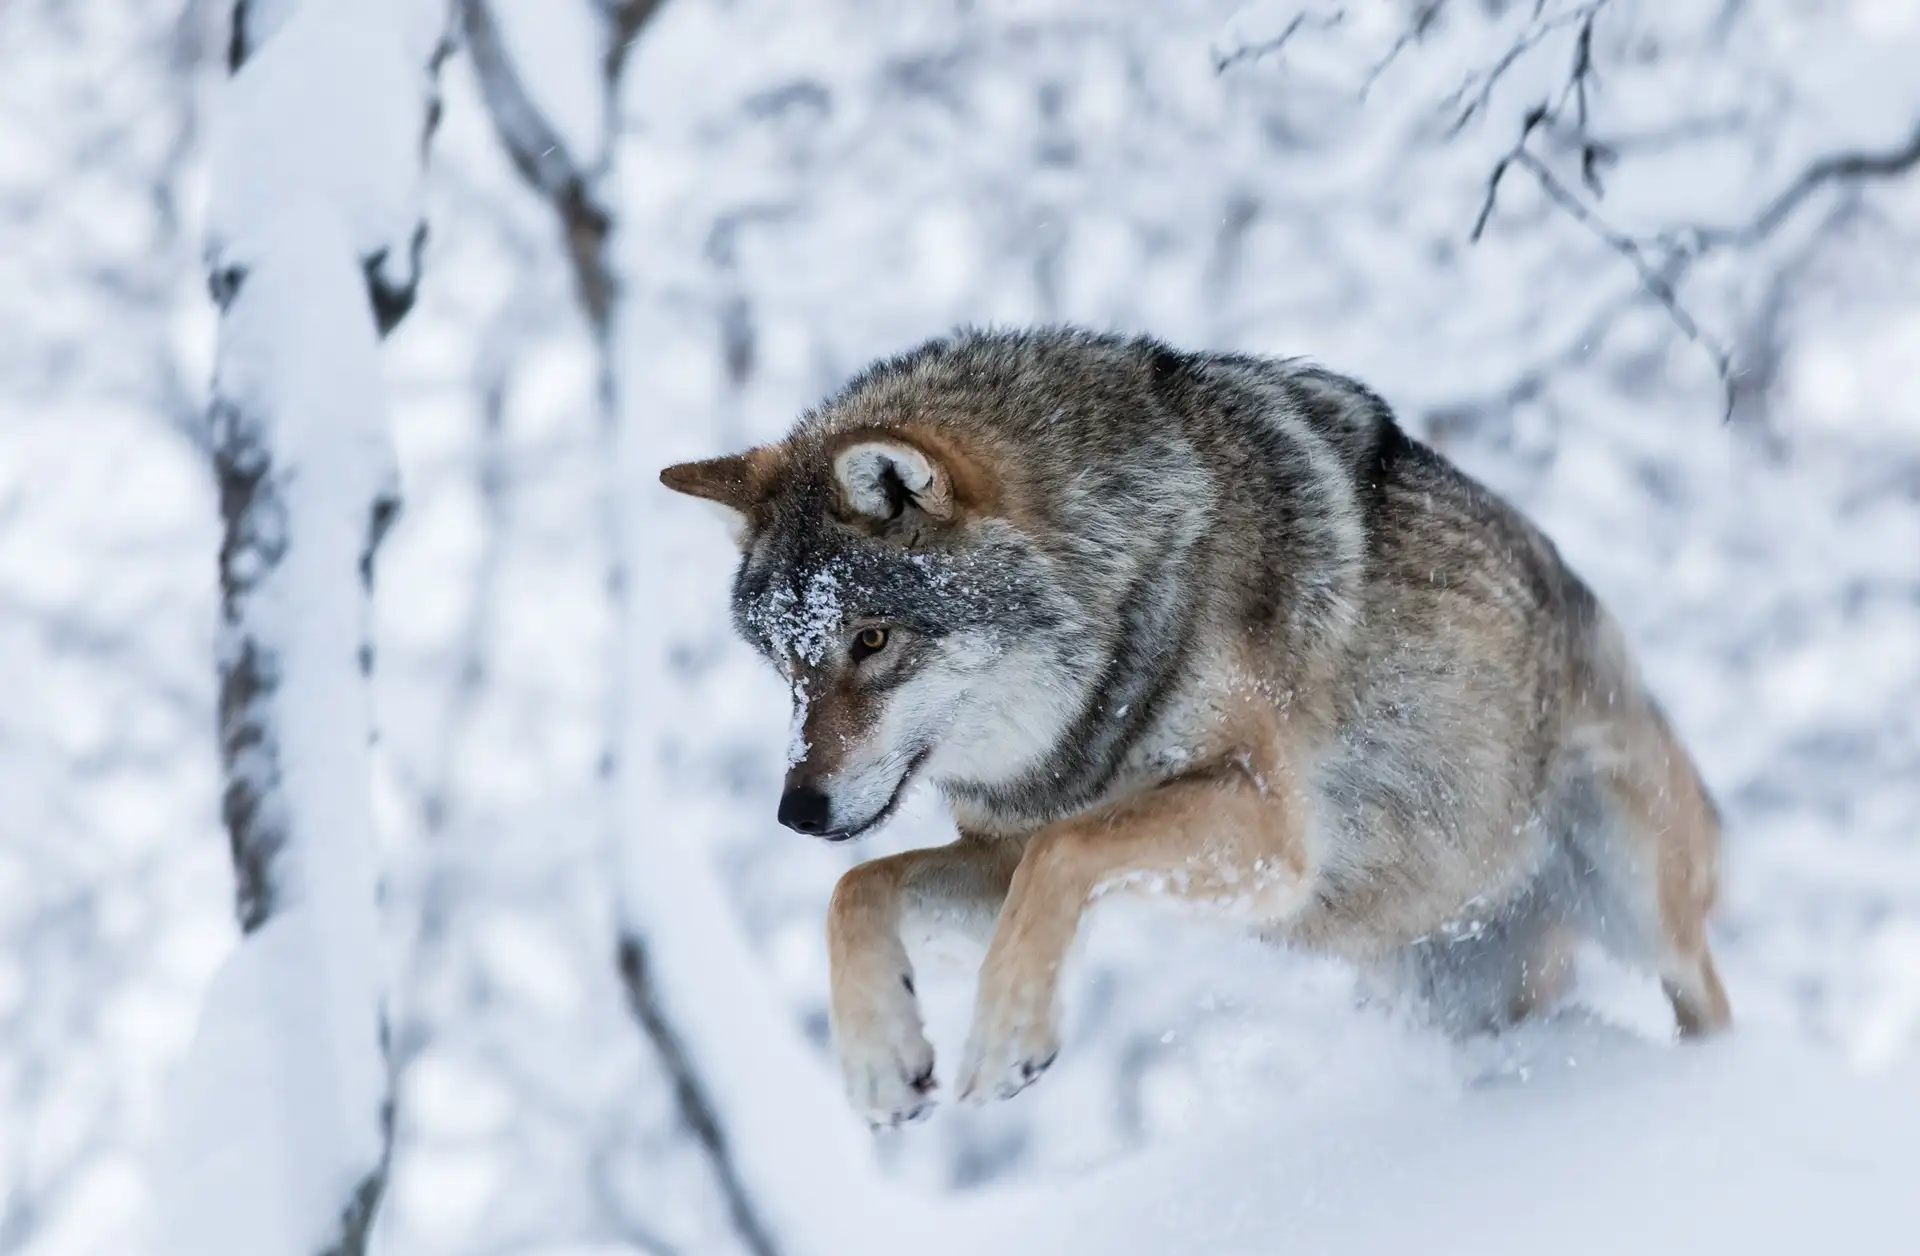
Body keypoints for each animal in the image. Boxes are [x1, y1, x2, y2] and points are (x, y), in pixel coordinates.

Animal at [661, 327, 1730, 1128]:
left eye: (871, 640)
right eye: (783, 664)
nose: (797, 811)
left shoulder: (1267, 828)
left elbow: (1061, 852)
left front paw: (1006, 1039)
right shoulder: (1007, 851)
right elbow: (858, 889)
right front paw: (883, 1062)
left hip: (1637, 894)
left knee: (1705, 1002)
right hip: (1437, 990)